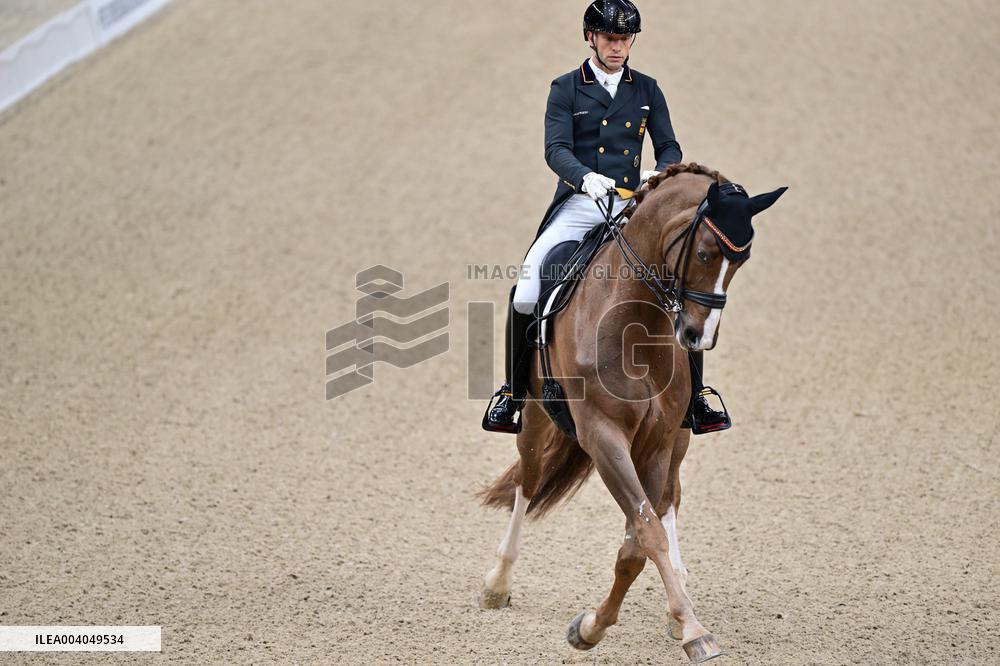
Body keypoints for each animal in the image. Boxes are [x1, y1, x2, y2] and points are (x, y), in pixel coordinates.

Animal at [477, 163, 787, 663]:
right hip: (536, 420)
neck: (633, 323)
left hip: (681, 436)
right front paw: (603, 627)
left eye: (742, 261)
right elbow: (644, 535)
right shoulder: (604, 438)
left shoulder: (657, 441)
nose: (697, 337)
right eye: (705, 252)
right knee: (528, 481)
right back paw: (497, 584)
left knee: (669, 499)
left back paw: (678, 589)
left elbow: (640, 540)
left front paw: (663, 622)